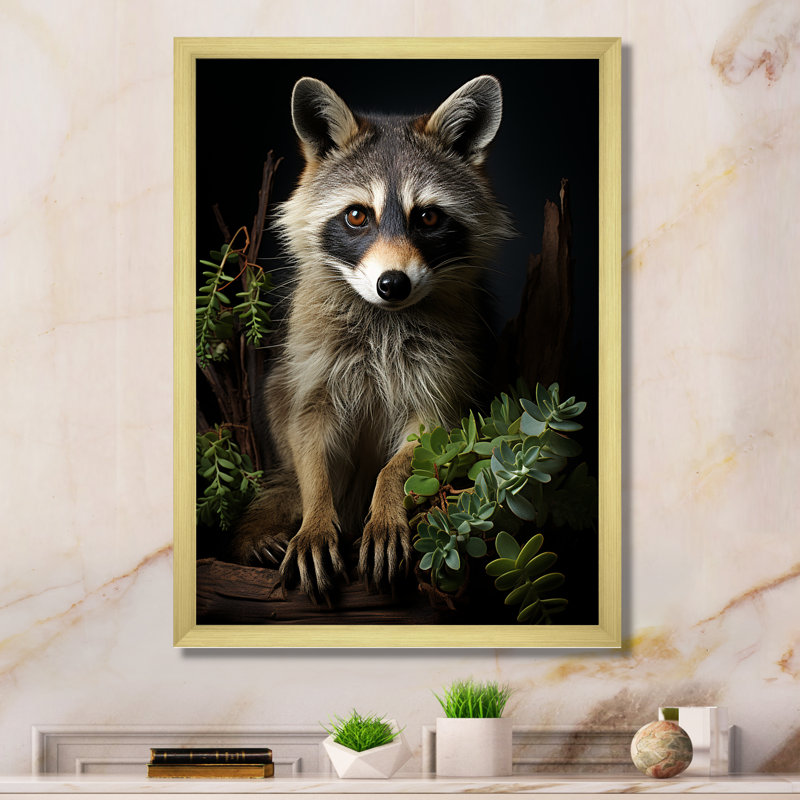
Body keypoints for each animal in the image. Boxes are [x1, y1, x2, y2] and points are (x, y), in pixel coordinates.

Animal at [229, 75, 513, 601]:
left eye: (428, 218)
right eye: (358, 216)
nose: (393, 283)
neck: (385, 316)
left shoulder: (446, 370)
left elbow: (422, 445)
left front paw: (386, 505)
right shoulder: (312, 363)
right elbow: (308, 438)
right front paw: (316, 516)